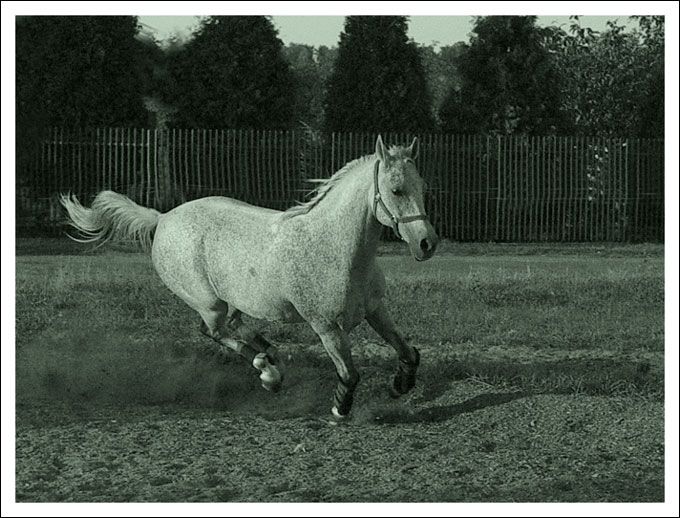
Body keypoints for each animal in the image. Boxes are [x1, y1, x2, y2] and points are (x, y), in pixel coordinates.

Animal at [61, 135, 438, 418]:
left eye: (423, 186)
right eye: (397, 190)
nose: (427, 243)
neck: (337, 249)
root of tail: (163, 217)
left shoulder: (376, 310)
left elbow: (408, 352)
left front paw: (399, 386)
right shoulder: (325, 325)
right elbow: (350, 373)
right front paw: (338, 410)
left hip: (235, 299)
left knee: (238, 327)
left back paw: (269, 361)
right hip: (209, 302)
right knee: (213, 331)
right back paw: (267, 370)